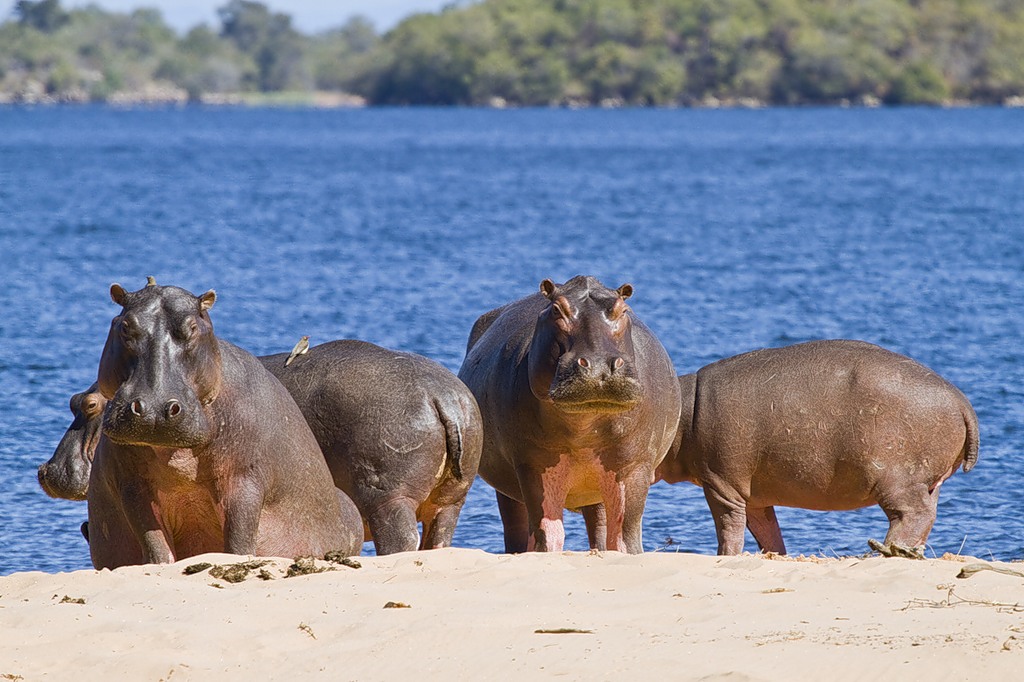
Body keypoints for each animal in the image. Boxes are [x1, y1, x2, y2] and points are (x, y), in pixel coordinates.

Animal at [87, 278, 364, 565]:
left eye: (193, 328)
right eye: (125, 325)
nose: (153, 408)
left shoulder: (245, 481)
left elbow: (239, 538)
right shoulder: (132, 485)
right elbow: (154, 542)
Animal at [460, 274, 684, 548]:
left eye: (623, 309)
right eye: (557, 309)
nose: (599, 365)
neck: (584, 426)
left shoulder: (634, 465)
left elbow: (624, 536)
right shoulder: (534, 465)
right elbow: (548, 532)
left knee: (599, 527)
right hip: (508, 489)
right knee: (517, 531)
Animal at [655, 337, 983, 557]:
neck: (679, 414)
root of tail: (961, 400)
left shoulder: (721, 484)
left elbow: (728, 527)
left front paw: (726, 558)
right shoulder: (753, 495)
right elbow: (766, 529)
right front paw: (774, 556)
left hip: (897, 478)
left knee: (913, 514)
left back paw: (887, 551)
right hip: (929, 481)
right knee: (928, 515)